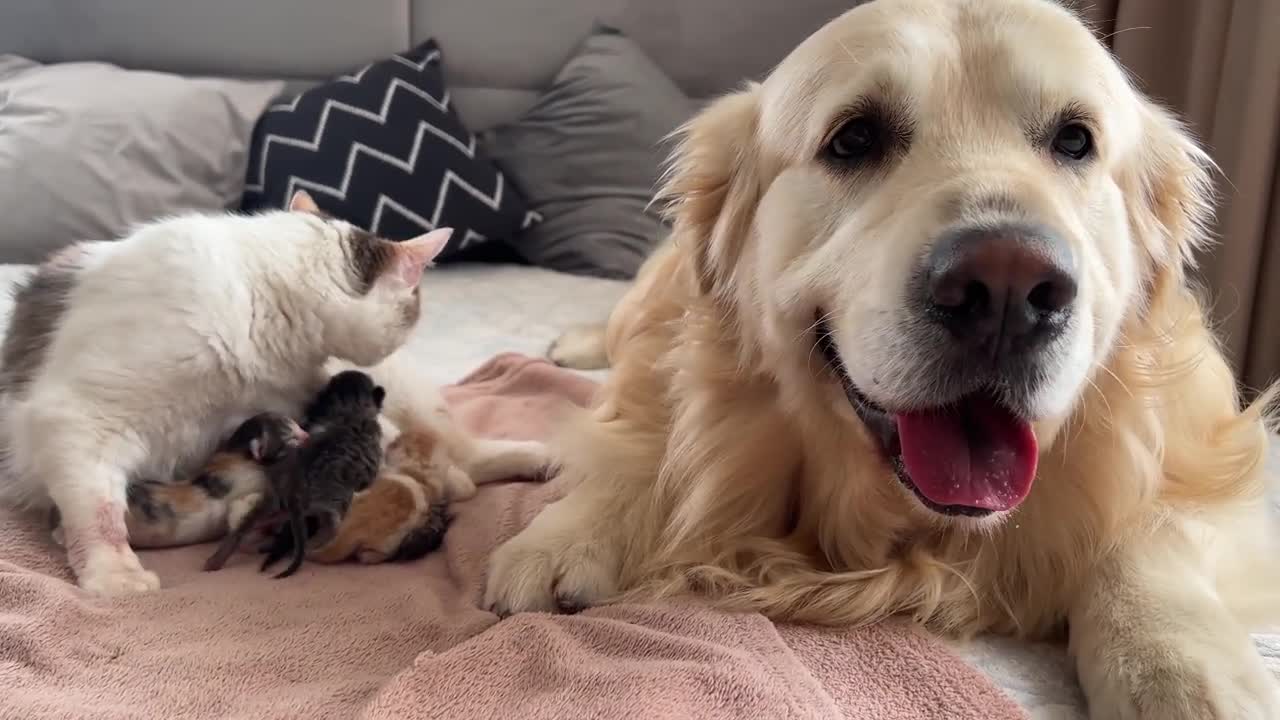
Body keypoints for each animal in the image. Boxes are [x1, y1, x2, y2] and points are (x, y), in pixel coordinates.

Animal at [481, 2, 1280, 712]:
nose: (1006, 288)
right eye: (854, 138)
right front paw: (567, 534)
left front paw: (1179, 664)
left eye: (1075, 141)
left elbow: (1148, 528)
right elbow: (644, 445)